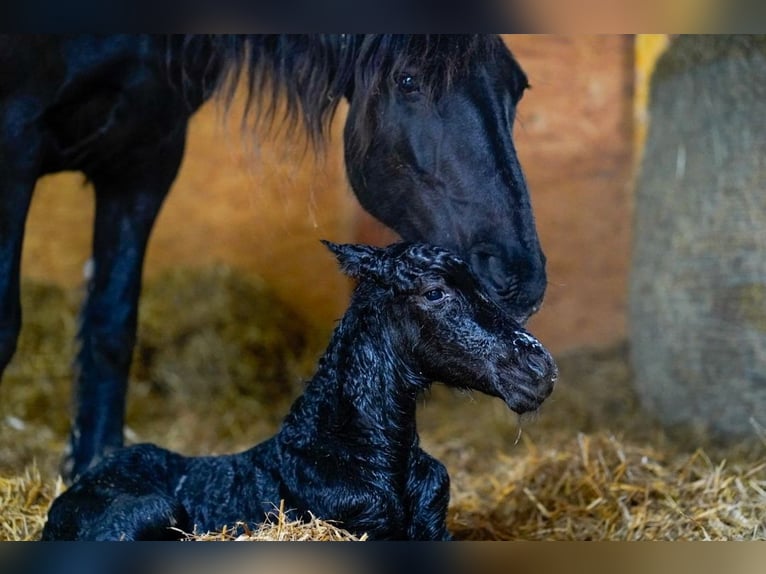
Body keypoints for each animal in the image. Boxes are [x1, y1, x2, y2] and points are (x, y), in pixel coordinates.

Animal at [1, 35, 552, 482]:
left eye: (518, 86)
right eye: (408, 80)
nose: (520, 274)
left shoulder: (145, 156)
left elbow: (110, 327)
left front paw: (89, 470)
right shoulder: (16, 142)